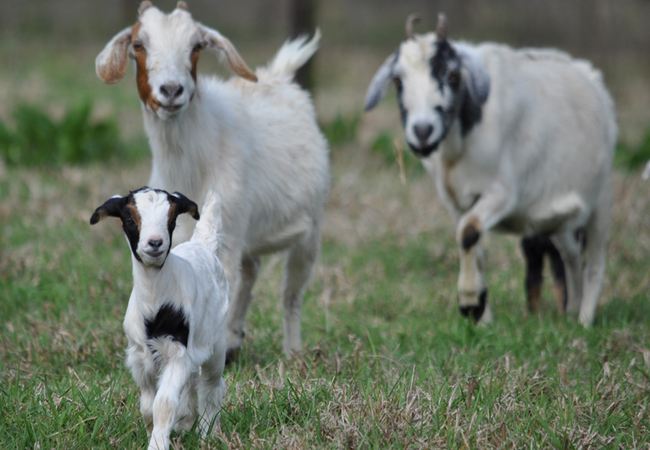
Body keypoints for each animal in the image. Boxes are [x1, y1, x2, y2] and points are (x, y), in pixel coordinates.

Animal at [90, 185, 228, 450]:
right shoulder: (140, 358)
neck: (155, 303)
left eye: (171, 220)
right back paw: (186, 423)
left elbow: (163, 403)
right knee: (193, 383)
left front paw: (157, 443)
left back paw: (207, 432)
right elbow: (147, 407)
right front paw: (155, 432)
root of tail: (201, 244)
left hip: (216, 339)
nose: (155, 242)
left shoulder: (176, 352)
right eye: (130, 219)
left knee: (211, 385)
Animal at [95, 1, 330, 360]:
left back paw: (292, 352)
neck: (190, 161)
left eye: (196, 46)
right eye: (138, 44)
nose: (172, 90)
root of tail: (278, 76)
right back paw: (235, 338)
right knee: (251, 270)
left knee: (290, 293)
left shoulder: (227, 229)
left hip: (310, 227)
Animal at [364, 12, 612, 326]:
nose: (422, 131)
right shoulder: (456, 202)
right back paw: (570, 312)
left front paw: (470, 301)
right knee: (570, 255)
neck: (458, 148)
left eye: (453, 75)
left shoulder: (502, 193)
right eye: (397, 80)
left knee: (595, 261)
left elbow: (469, 232)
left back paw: (584, 320)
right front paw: (482, 317)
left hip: (601, 200)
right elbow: (471, 242)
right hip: (559, 219)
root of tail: (589, 76)